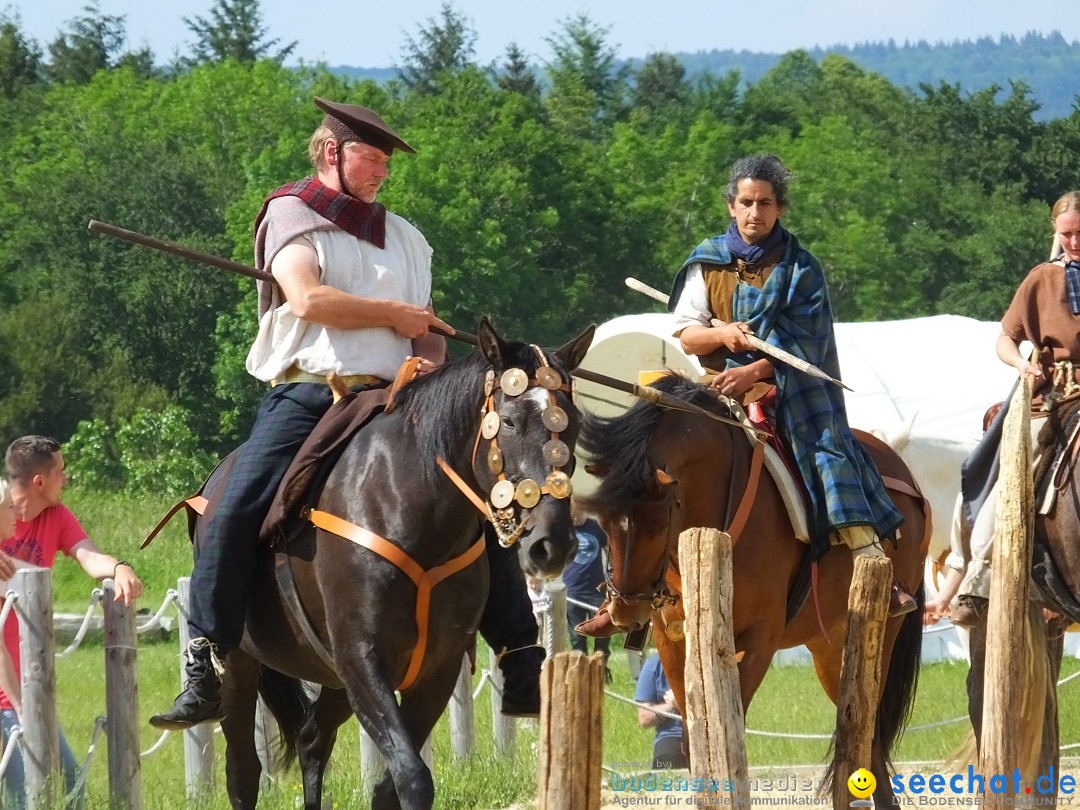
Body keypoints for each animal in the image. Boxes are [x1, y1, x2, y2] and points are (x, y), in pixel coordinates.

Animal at [204, 319, 591, 807]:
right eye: (510, 421)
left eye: (574, 423)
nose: (551, 544)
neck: (405, 506)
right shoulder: (363, 658)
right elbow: (412, 777)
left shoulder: (434, 670)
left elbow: (392, 784)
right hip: (240, 665)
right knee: (243, 773)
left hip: (333, 677)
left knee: (313, 739)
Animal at [583, 378, 928, 807]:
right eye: (603, 521)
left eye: (658, 519)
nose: (626, 612)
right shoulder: (673, 640)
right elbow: (694, 743)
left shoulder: (759, 638)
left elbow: (732, 729)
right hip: (830, 644)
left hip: (881, 632)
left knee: (870, 729)